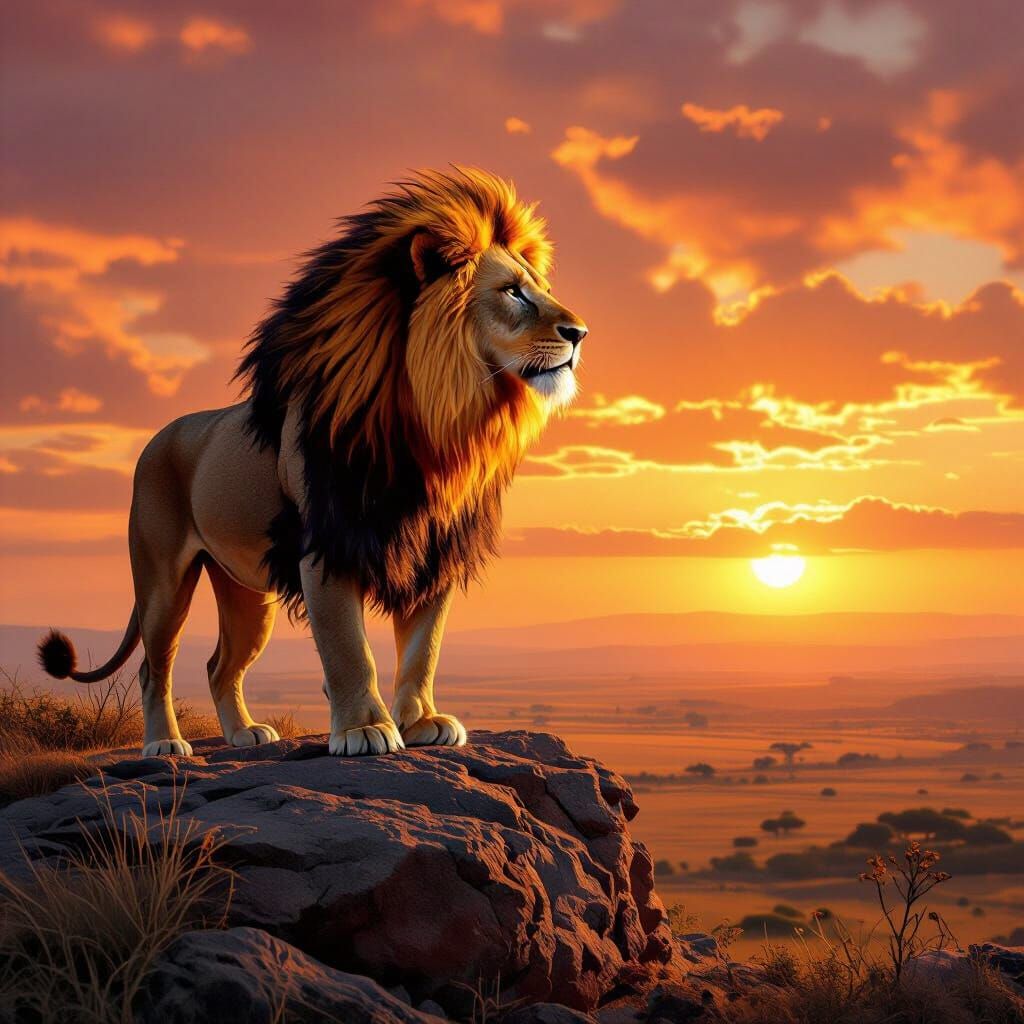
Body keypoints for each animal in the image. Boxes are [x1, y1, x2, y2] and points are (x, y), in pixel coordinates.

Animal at [38, 167, 587, 758]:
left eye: (543, 290)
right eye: (512, 292)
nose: (580, 333)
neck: (436, 424)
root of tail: (159, 436)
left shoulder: (432, 552)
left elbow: (424, 650)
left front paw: (421, 722)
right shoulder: (327, 545)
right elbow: (349, 649)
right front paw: (365, 730)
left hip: (246, 592)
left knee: (218, 665)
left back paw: (244, 735)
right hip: (163, 580)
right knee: (152, 666)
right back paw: (164, 744)